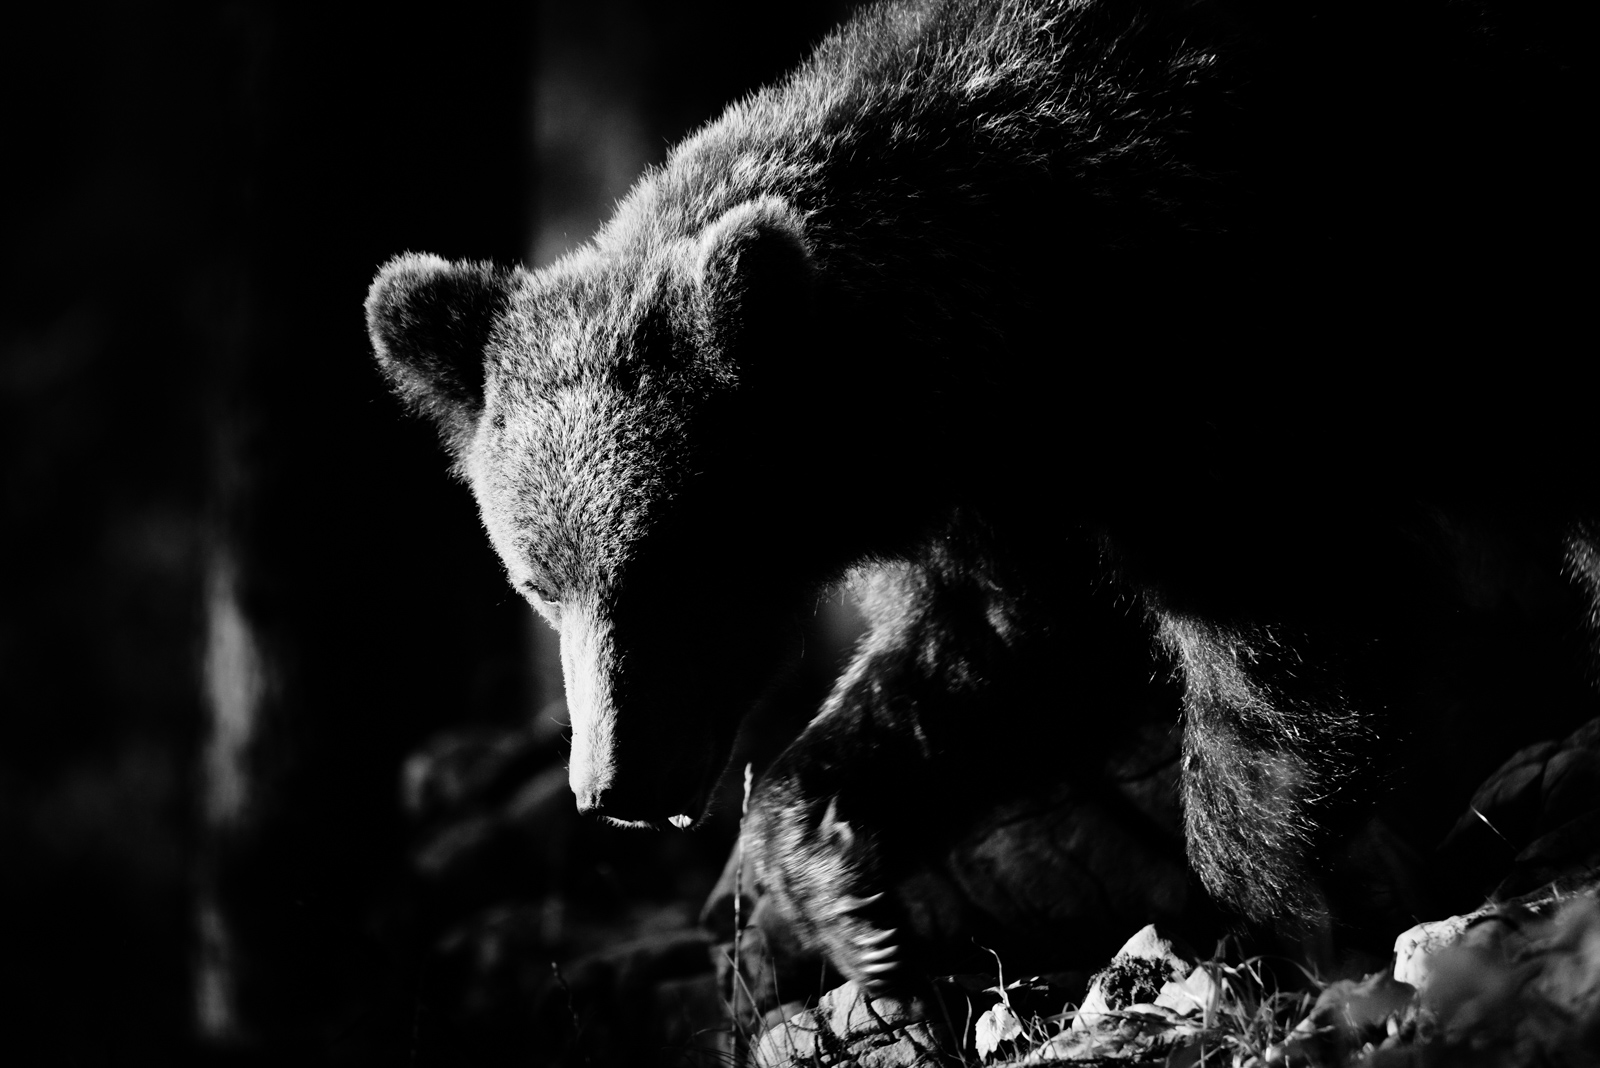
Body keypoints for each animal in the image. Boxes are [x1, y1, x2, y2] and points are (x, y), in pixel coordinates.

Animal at [367, 0, 1595, 979]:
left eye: (669, 565)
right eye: (537, 585)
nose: (611, 784)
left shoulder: (1220, 351)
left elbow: (1280, 632)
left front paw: (1283, 915)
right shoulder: (1012, 502)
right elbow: (991, 647)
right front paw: (840, 898)